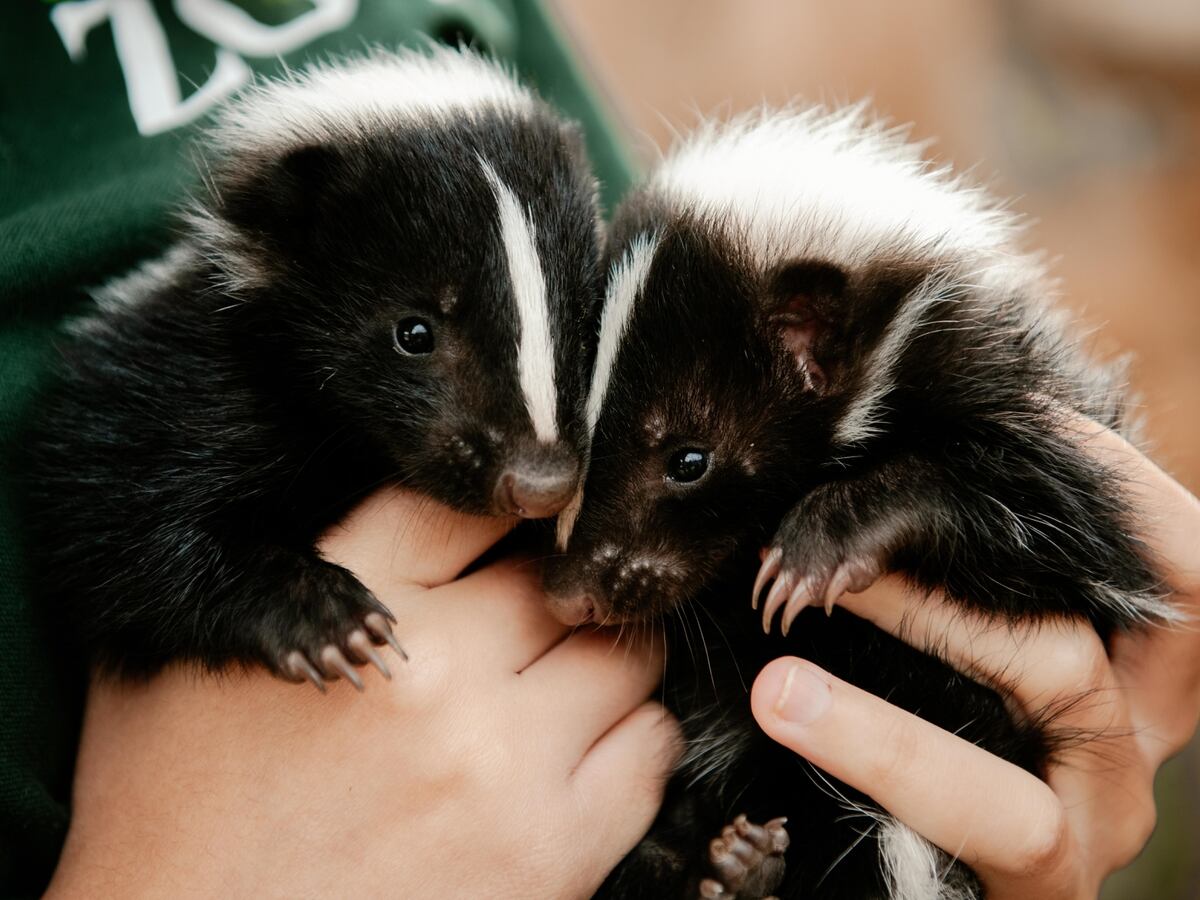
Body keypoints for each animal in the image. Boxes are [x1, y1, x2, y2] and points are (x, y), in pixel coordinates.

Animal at [28, 47, 604, 691]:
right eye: (414, 334)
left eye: (584, 320)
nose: (539, 483)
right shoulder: (168, 386)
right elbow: (116, 527)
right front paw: (327, 619)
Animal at [547, 107, 1171, 900]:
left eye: (688, 460)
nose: (570, 592)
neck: (896, 344)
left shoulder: (1039, 417)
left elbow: (1058, 528)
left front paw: (816, 549)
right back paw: (736, 867)